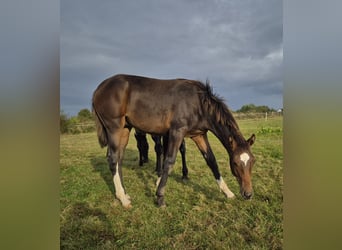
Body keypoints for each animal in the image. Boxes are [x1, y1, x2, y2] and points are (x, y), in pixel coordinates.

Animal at [92, 73, 255, 207]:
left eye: (252, 161)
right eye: (235, 163)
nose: (248, 194)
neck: (198, 103)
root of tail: (98, 89)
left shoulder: (199, 135)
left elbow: (211, 161)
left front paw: (228, 192)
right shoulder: (177, 132)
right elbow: (169, 161)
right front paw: (160, 197)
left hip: (125, 129)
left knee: (119, 158)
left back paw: (125, 194)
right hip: (114, 128)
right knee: (113, 158)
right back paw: (123, 199)